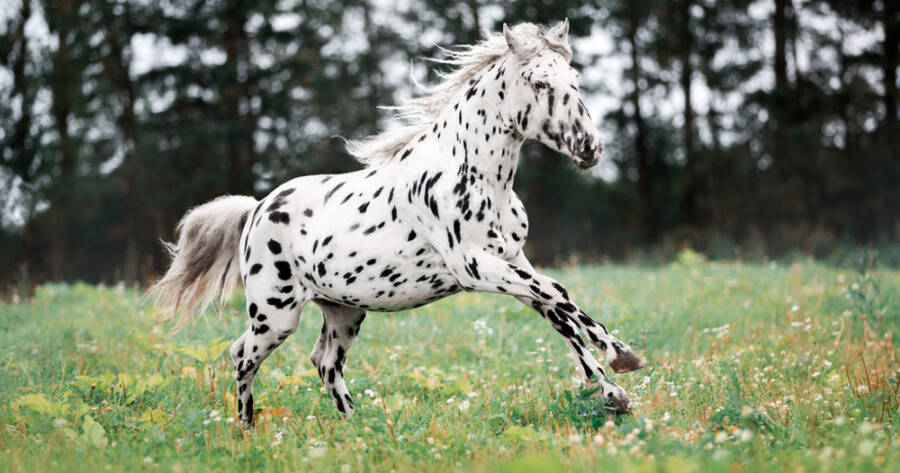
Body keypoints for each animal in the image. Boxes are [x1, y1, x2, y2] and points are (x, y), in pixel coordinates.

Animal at [150, 20, 645, 426]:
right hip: (275, 314)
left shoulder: (513, 260)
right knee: (242, 356)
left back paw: (359, 426)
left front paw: (616, 388)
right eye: (540, 82)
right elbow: (558, 294)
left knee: (324, 361)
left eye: (575, 81)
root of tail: (256, 208)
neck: (478, 175)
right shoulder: (475, 267)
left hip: (344, 310)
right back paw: (247, 430)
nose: (590, 148)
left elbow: (559, 312)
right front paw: (622, 357)